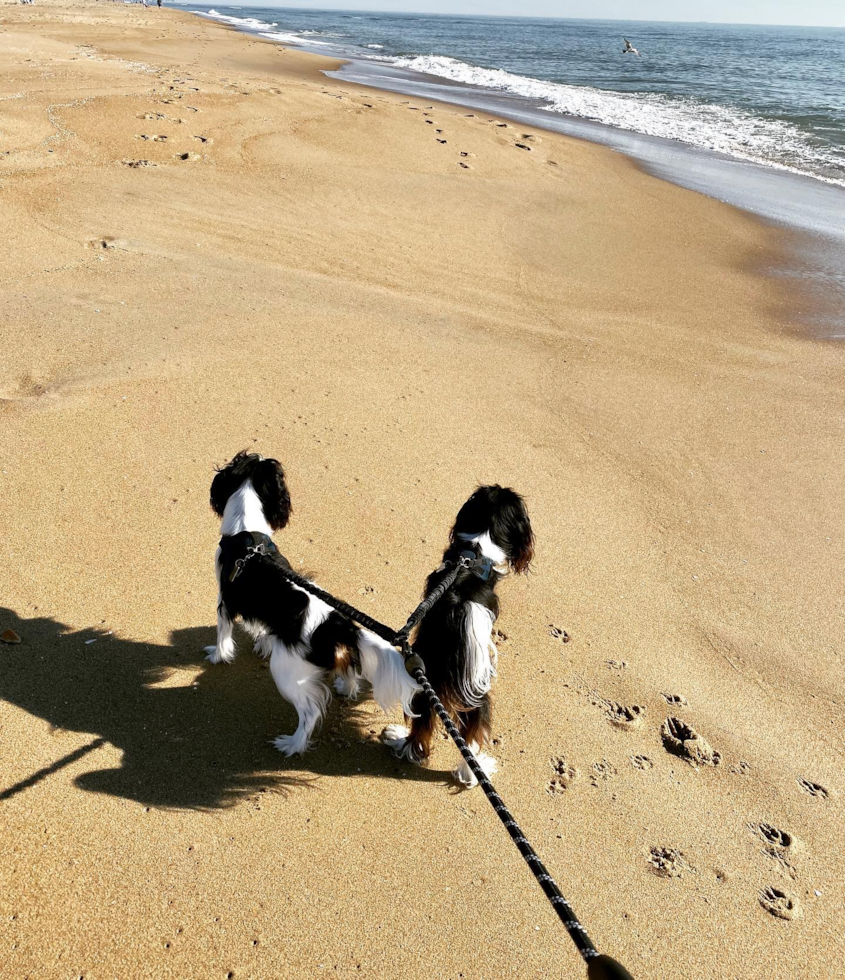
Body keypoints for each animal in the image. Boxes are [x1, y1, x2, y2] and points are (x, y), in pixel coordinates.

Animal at [203, 454, 418, 756]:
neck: (248, 533)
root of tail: (337, 626)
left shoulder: (225, 600)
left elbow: (223, 636)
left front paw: (217, 656)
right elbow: (262, 627)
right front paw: (262, 642)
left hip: (287, 672)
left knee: (310, 713)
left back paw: (293, 744)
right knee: (349, 670)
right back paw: (345, 688)